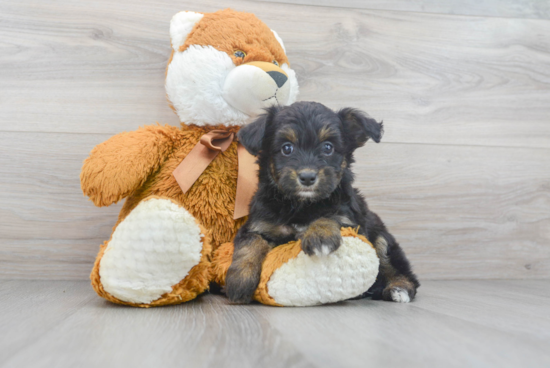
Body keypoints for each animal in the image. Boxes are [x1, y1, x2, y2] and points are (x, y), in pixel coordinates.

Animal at [226, 101, 420, 304]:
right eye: (287, 148)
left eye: (328, 147)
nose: (307, 177)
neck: (301, 204)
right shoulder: (258, 224)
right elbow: (251, 243)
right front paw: (239, 280)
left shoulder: (351, 221)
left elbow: (330, 216)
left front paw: (320, 236)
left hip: (382, 239)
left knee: (400, 270)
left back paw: (399, 289)